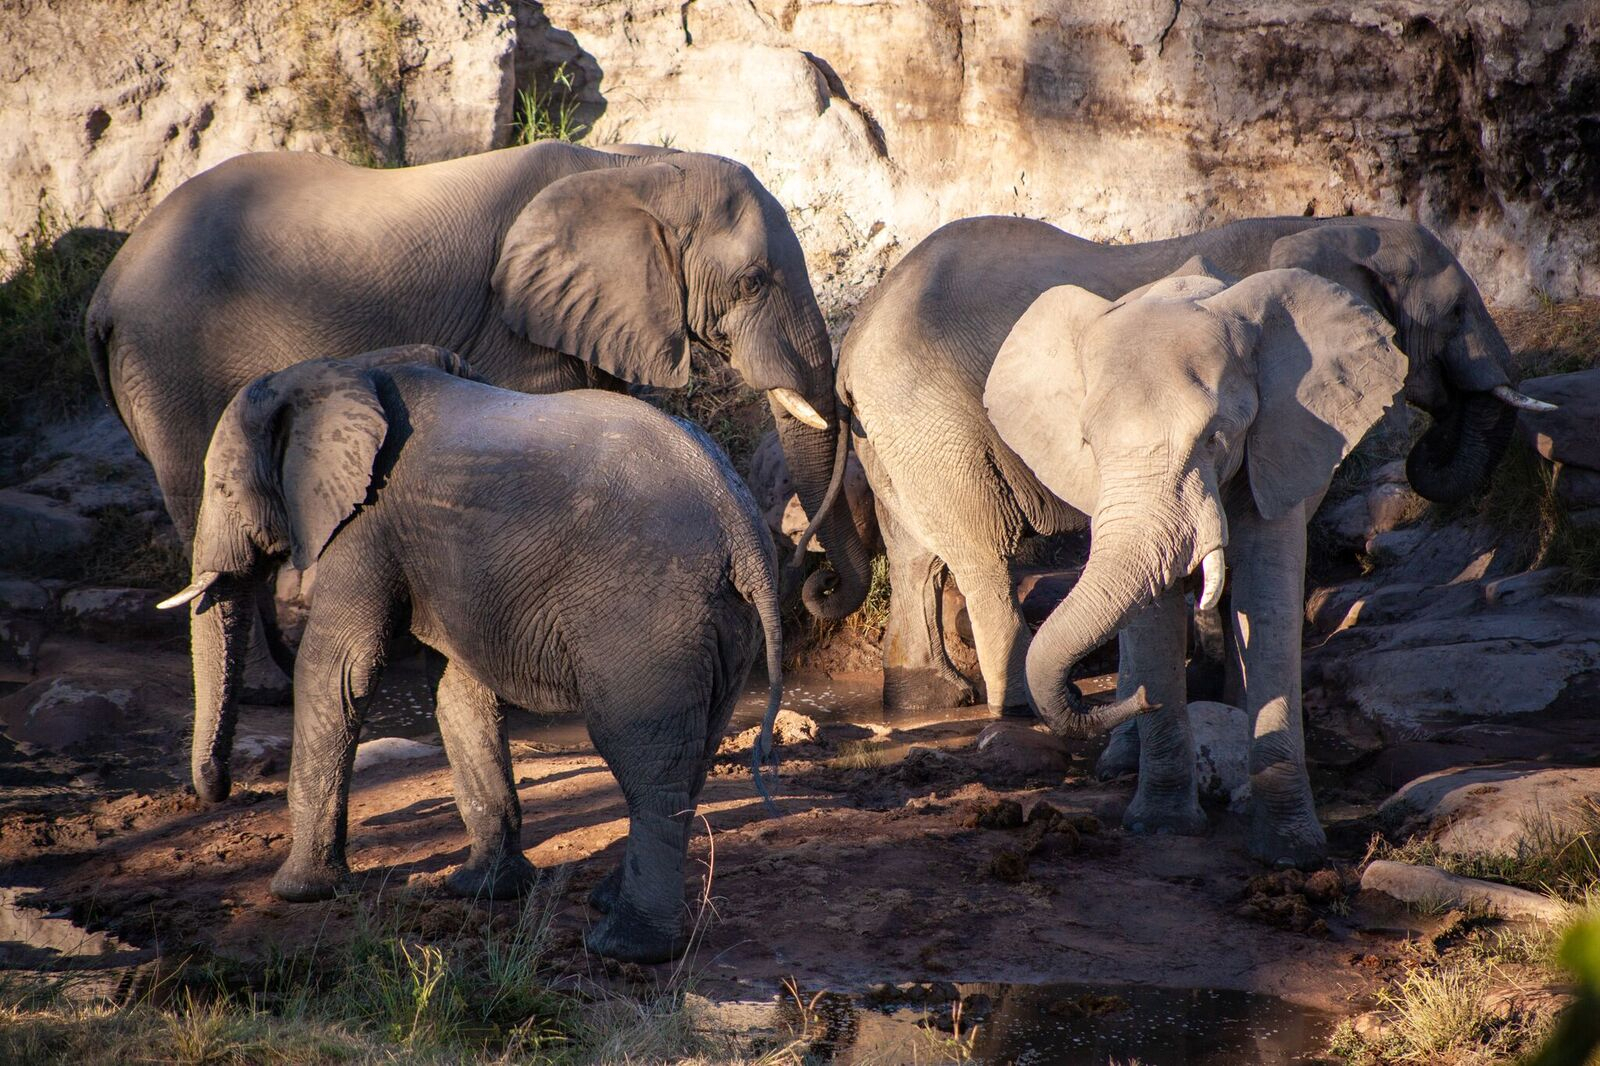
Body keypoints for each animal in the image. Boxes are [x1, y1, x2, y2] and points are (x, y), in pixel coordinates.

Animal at [88, 140, 869, 622]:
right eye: (752, 281)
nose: (814, 576)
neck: (635, 165)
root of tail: (105, 292)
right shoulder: (510, 322)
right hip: (170, 364)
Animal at [157, 347, 783, 963]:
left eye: (221, 488)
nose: (219, 790)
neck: (340, 371)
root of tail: (741, 526)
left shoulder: (367, 526)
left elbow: (338, 669)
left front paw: (299, 893)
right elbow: (458, 691)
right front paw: (481, 891)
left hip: (648, 610)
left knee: (647, 758)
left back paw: (626, 948)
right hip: (723, 622)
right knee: (693, 752)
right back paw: (608, 904)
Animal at [835, 214, 1551, 717]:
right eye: (1456, 312)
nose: (1424, 443)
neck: (1327, 228)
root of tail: (857, 332)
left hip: (894, 427)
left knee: (915, 551)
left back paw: (927, 697)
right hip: (927, 410)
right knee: (982, 548)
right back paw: (1014, 710)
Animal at [982, 267, 1409, 864]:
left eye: (1214, 437)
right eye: (1087, 443)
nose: (1135, 700)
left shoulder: (1277, 448)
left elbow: (1268, 600)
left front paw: (1291, 851)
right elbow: (1153, 616)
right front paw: (1162, 827)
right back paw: (1122, 759)